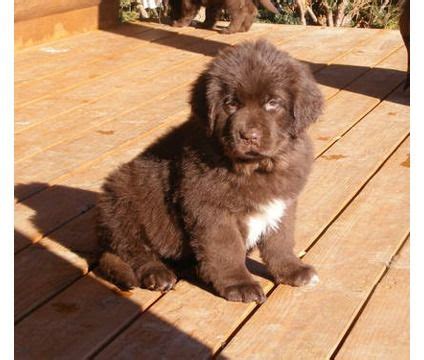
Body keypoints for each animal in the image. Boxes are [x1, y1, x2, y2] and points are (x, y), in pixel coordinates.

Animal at [97, 40, 322, 304]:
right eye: (230, 103)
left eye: (272, 103)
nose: (248, 136)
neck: (254, 168)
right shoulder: (210, 210)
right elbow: (226, 250)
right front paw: (240, 284)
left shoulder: (283, 203)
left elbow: (280, 241)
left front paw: (291, 270)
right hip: (123, 196)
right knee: (130, 249)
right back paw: (157, 274)